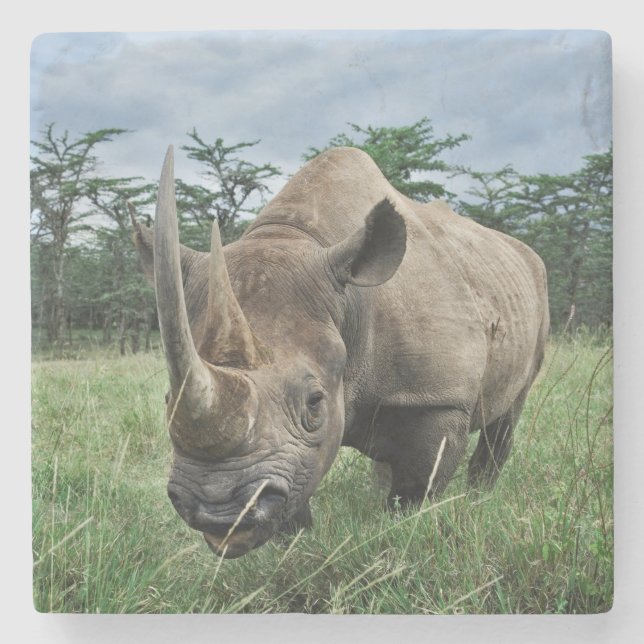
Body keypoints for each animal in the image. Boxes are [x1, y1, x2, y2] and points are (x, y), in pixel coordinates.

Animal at [133, 145, 549, 558]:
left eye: (314, 402)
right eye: (168, 399)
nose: (218, 512)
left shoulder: (438, 398)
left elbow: (416, 489)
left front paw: (401, 533)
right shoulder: (297, 452)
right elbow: (299, 491)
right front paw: (298, 547)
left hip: (534, 287)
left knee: (509, 412)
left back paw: (479, 500)